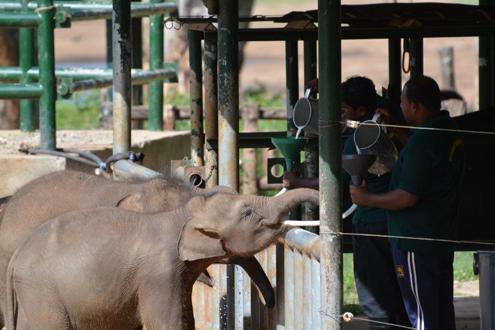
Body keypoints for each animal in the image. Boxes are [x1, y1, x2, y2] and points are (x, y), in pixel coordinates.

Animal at [6, 188, 318, 330]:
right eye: (247, 213)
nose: (271, 302)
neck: (179, 215)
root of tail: (14, 257)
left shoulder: (179, 274)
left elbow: (187, 319)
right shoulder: (159, 273)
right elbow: (167, 323)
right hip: (42, 292)